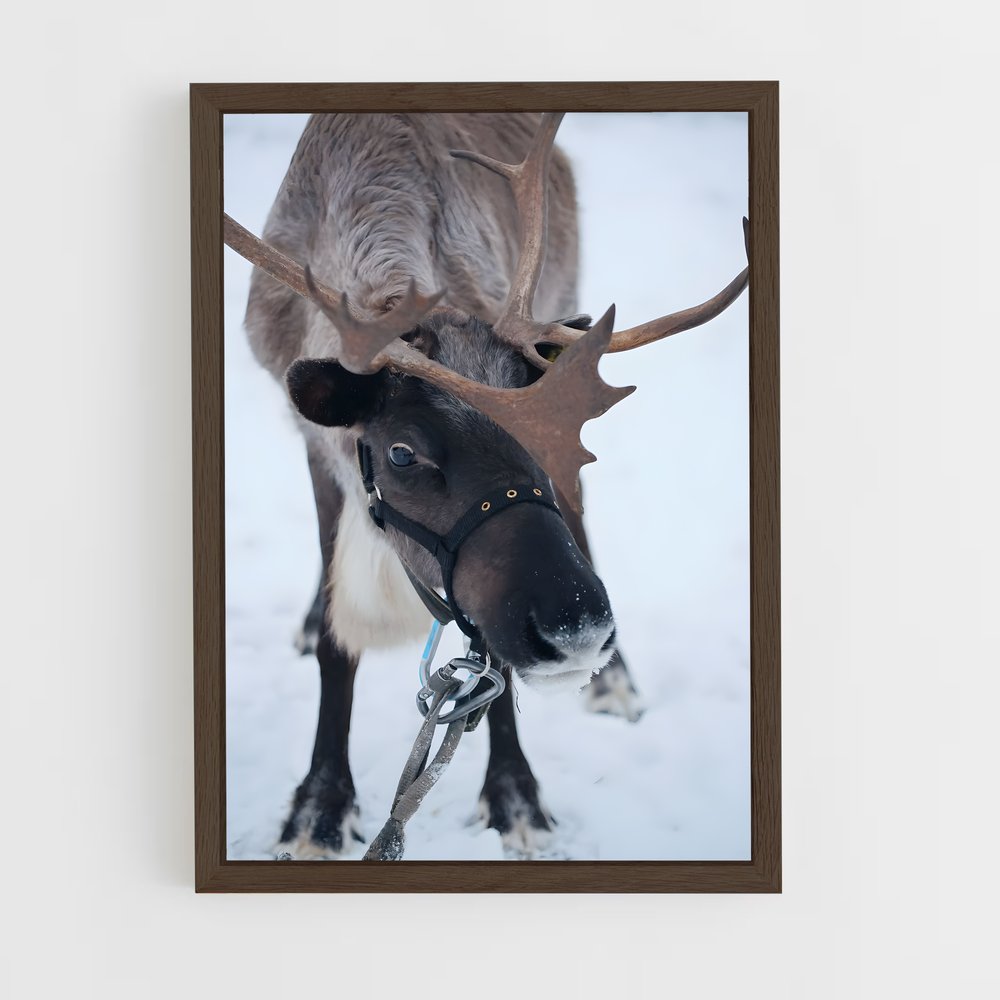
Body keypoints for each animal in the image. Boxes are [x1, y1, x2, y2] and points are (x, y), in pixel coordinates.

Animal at [225, 112, 749, 858]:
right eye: (403, 452)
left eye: (548, 442)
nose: (578, 628)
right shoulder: (321, 453)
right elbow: (335, 638)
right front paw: (319, 809)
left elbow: (489, 667)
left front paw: (516, 797)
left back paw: (617, 683)